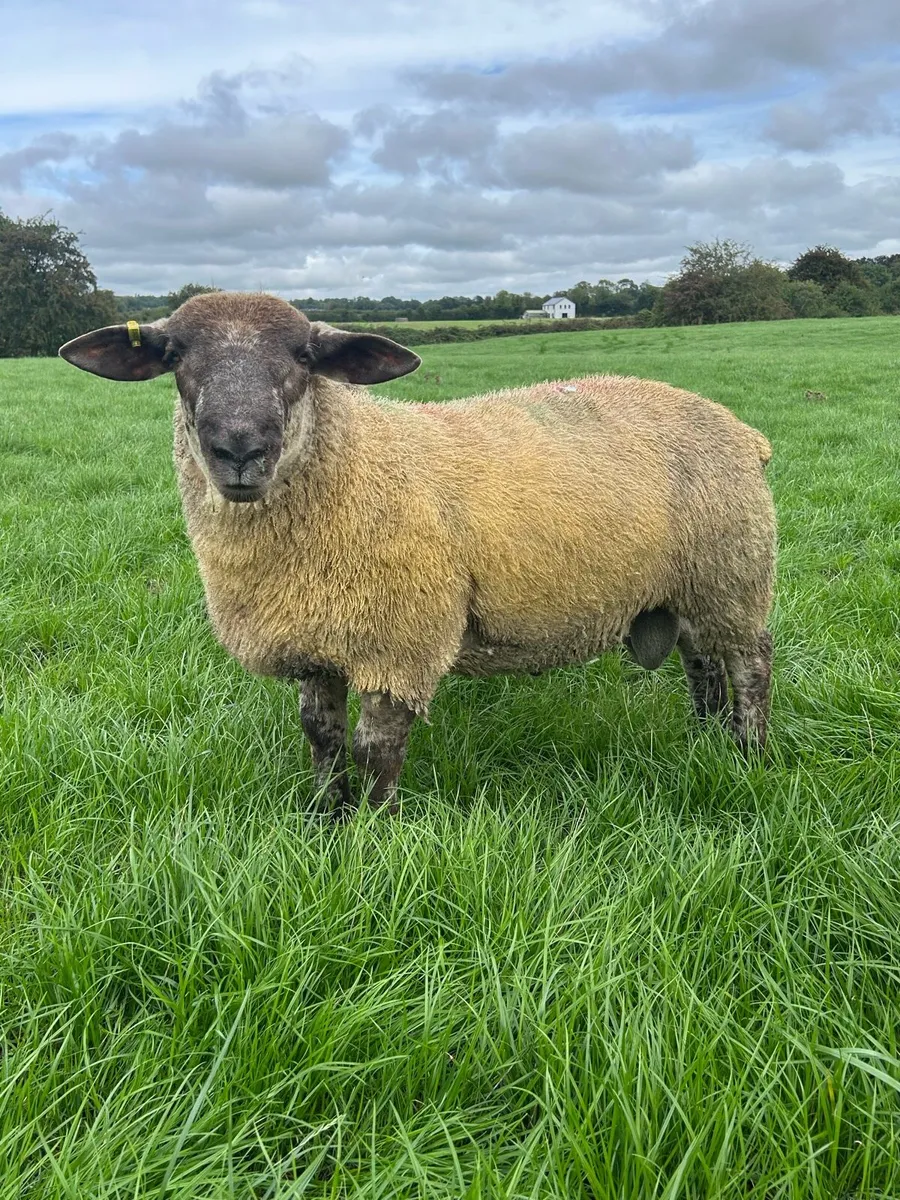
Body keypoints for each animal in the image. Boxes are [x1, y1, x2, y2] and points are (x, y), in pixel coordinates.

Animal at [60, 291, 776, 816]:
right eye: (175, 354)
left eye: (304, 356)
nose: (239, 449)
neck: (353, 462)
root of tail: (743, 430)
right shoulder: (315, 638)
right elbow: (321, 738)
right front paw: (327, 816)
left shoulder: (397, 640)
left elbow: (376, 750)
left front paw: (372, 832)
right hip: (690, 586)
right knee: (702, 664)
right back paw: (706, 740)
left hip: (734, 572)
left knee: (749, 664)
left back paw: (750, 754)